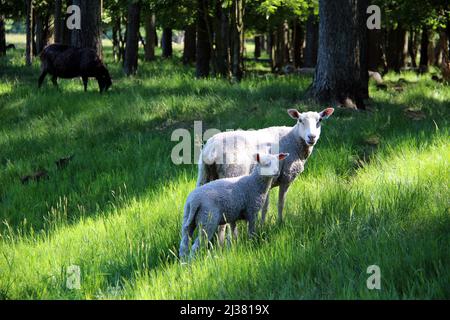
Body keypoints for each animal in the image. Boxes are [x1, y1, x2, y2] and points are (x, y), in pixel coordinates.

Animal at [197, 108, 334, 228]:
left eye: (320, 120)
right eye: (300, 120)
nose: (312, 137)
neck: (293, 139)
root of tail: (212, 149)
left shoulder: (268, 182)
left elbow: (265, 206)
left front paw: (263, 225)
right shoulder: (286, 177)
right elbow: (281, 203)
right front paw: (280, 223)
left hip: (204, 174)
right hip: (232, 173)